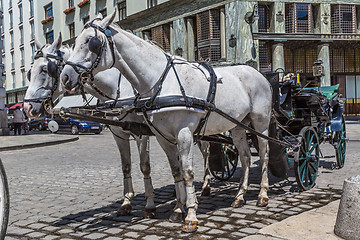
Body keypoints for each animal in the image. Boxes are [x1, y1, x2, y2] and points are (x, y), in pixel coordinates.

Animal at [60, 11, 272, 232]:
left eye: (90, 42)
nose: (65, 77)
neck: (160, 83)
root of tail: (259, 73)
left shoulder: (182, 134)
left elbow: (187, 172)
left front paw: (191, 216)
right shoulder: (162, 136)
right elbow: (175, 170)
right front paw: (178, 209)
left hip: (261, 122)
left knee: (264, 154)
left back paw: (262, 195)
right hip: (238, 124)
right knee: (245, 157)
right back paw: (239, 196)